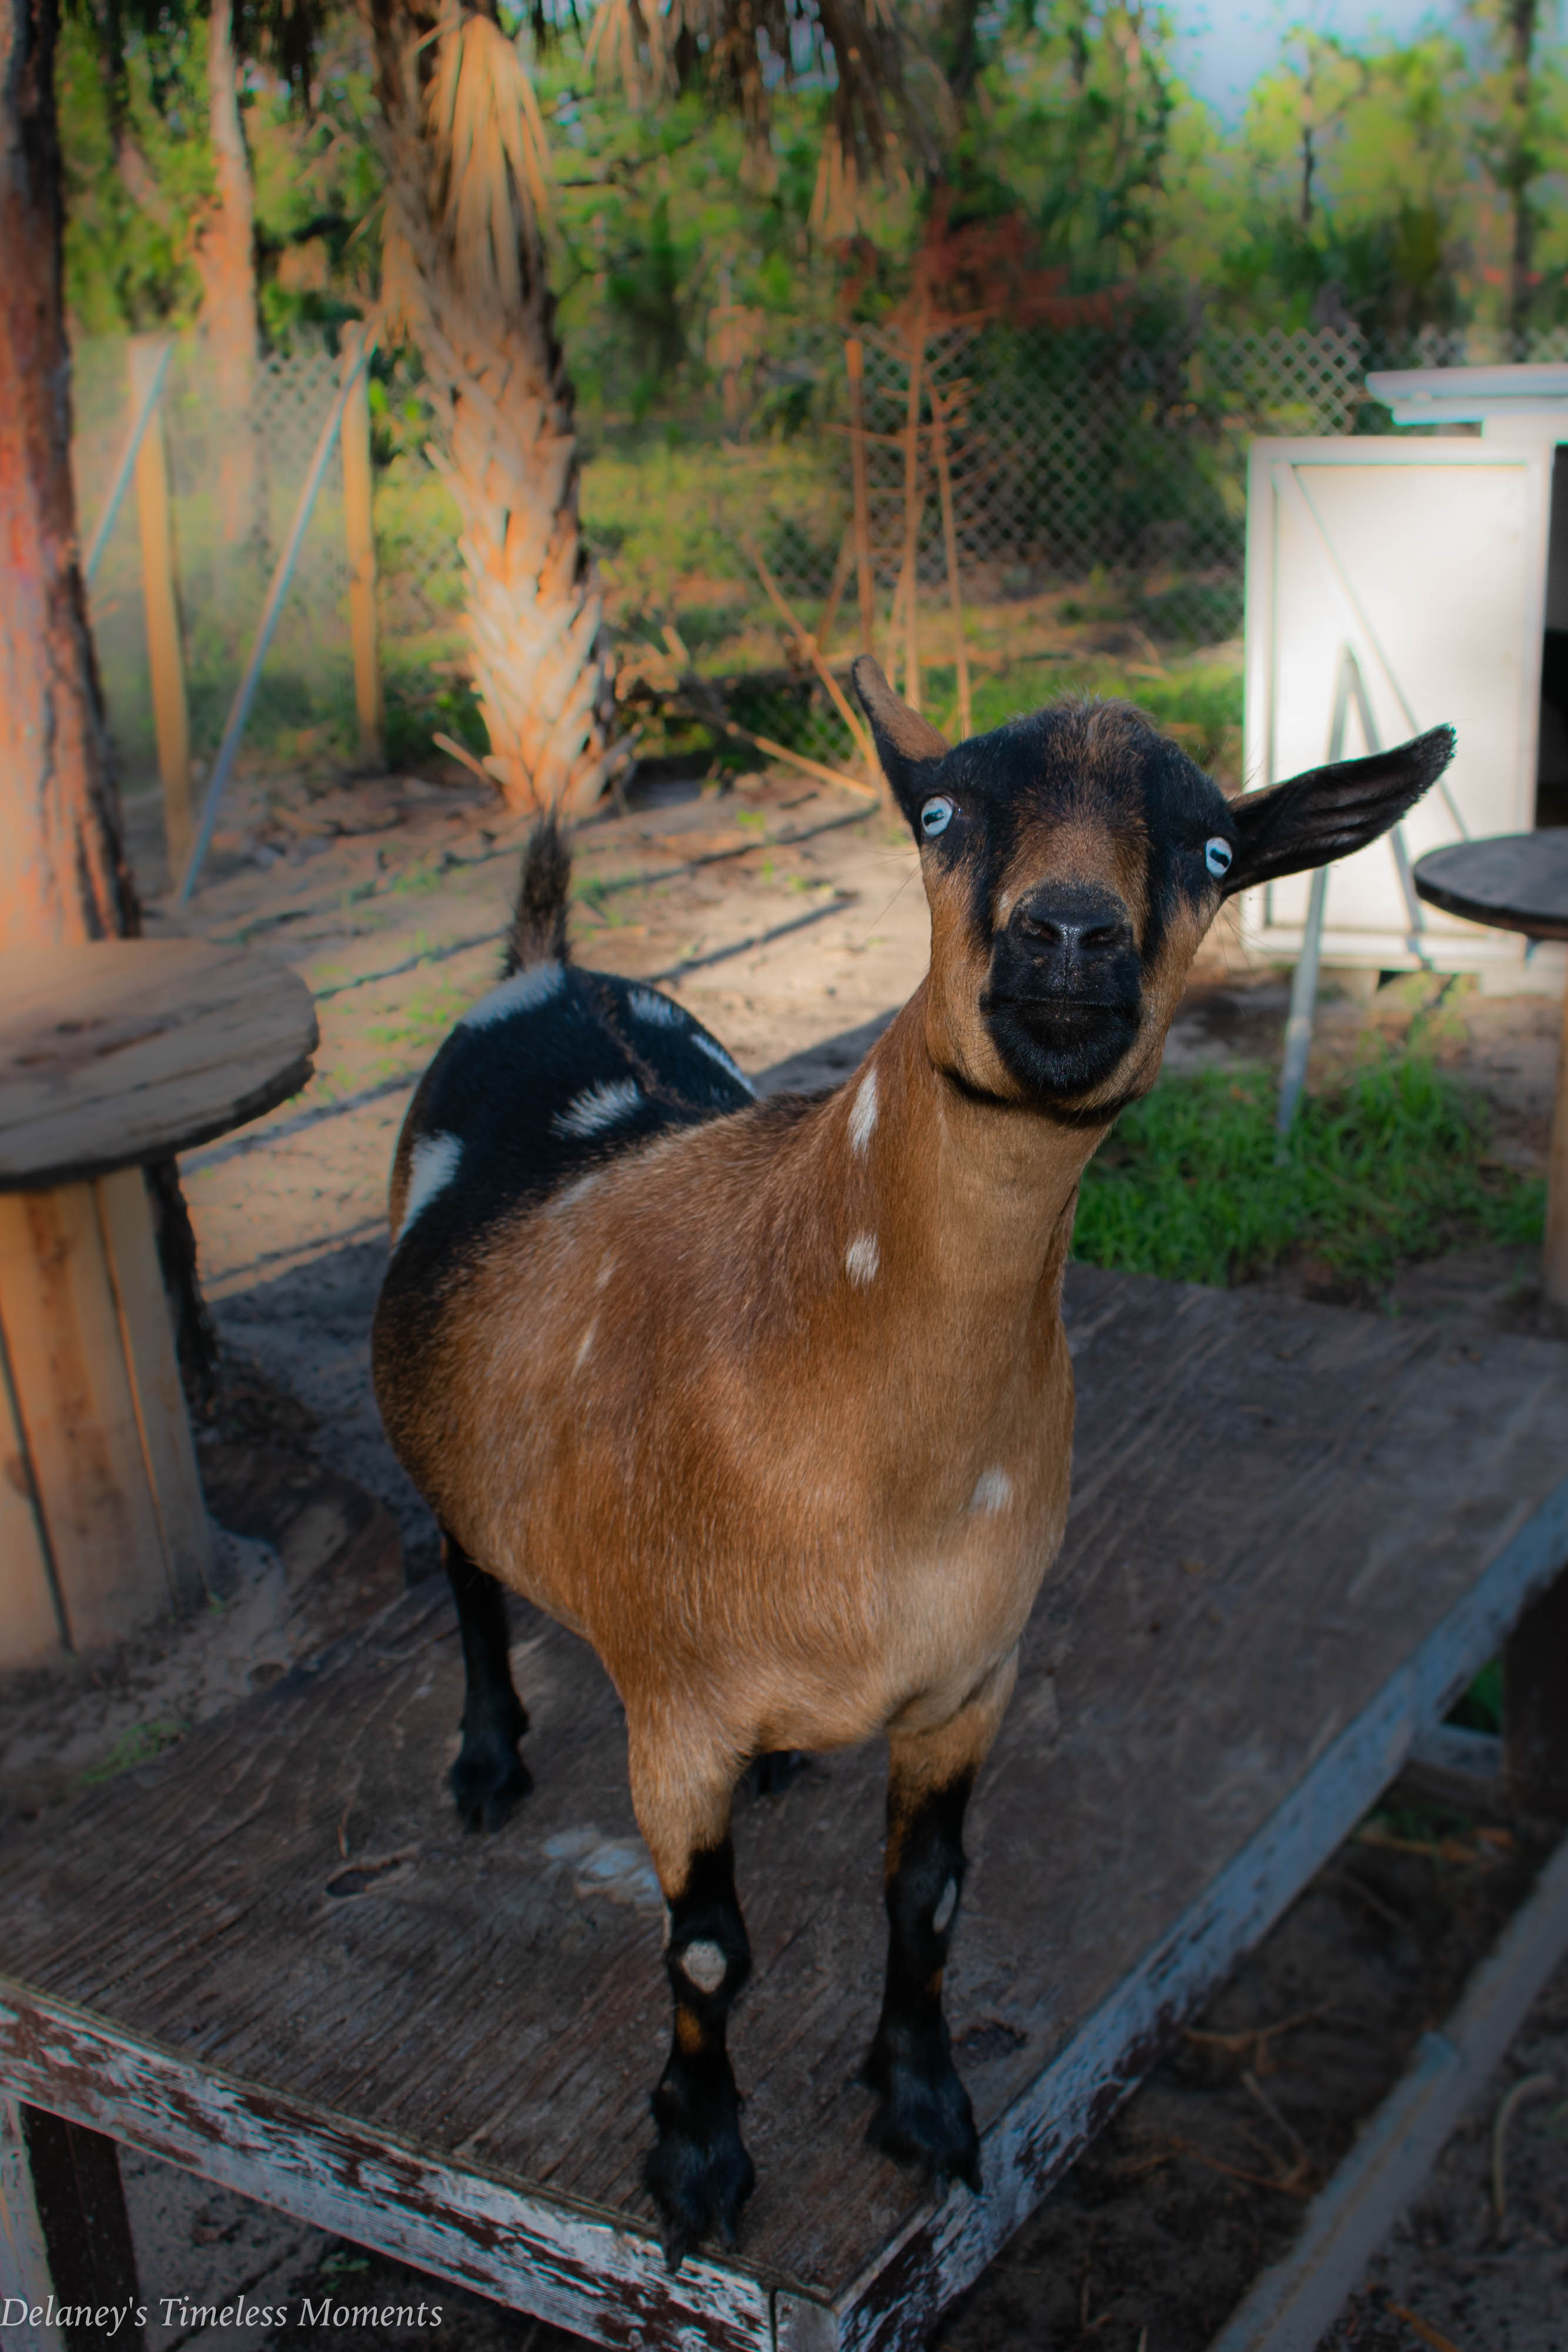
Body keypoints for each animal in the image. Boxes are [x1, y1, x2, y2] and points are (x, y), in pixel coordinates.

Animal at [371, 659, 1453, 2262]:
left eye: (1213, 850)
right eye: (938, 813)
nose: (1068, 934)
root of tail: (547, 966)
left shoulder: (968, 1678)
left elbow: (928, 1903)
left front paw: (925, 2105)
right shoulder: (674, 1717)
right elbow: (708, 1953)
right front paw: (699, 2159)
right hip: (449, 1436)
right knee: (462, 1566)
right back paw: (489, 1757)